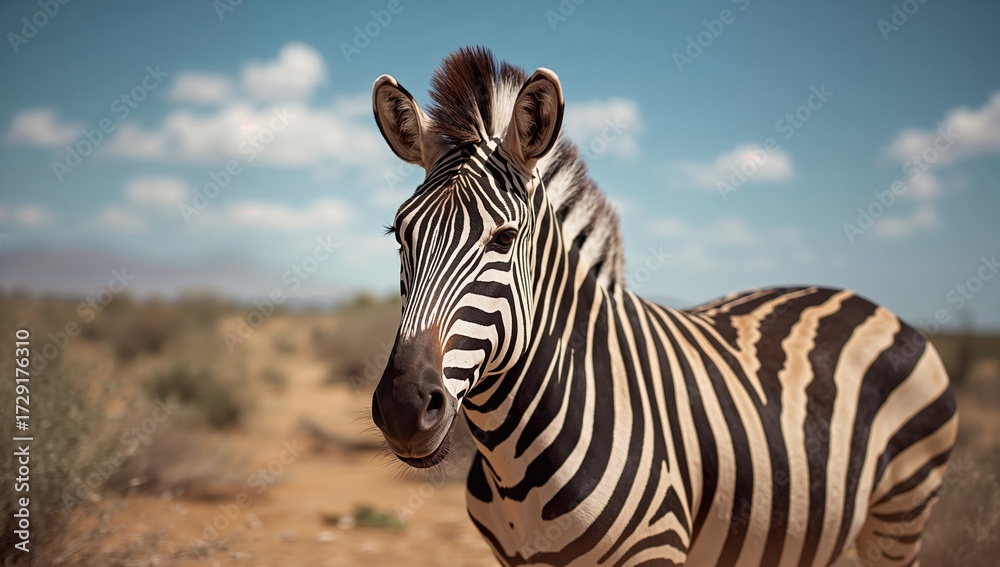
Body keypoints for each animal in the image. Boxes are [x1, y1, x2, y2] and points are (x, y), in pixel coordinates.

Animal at [368, 47, 958, 566]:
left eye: (505, 239)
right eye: (399, 235)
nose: (402, 407)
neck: (512, 467)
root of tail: (867, 303)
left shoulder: (656, 548)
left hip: (900, 513)